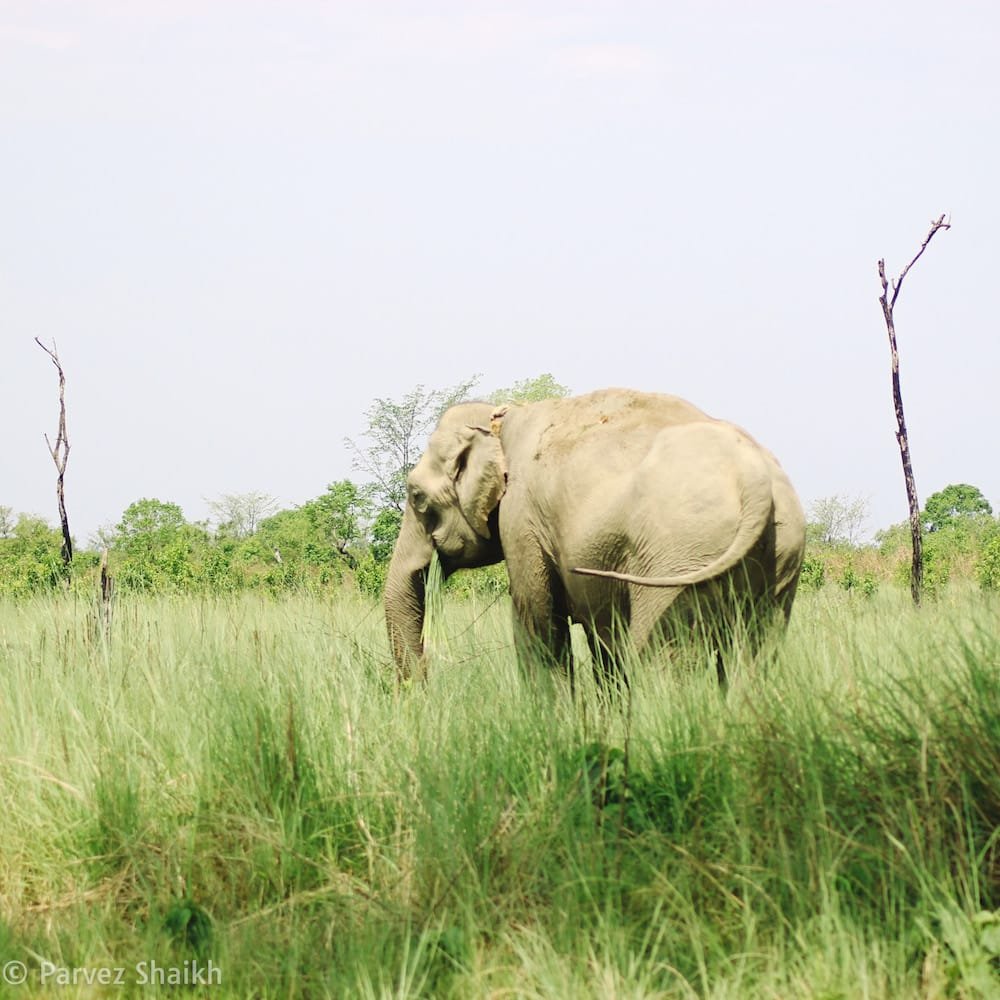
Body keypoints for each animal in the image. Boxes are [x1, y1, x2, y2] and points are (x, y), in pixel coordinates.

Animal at [382, 386, 804, 684]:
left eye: (416, 497)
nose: (423, 688)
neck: (503, 416)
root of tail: (754, 478)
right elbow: (601, 642)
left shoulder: (522, 519)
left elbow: (538, 625)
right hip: (782, 555)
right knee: (756, 656)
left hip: (681, 555)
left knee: (666, 660)